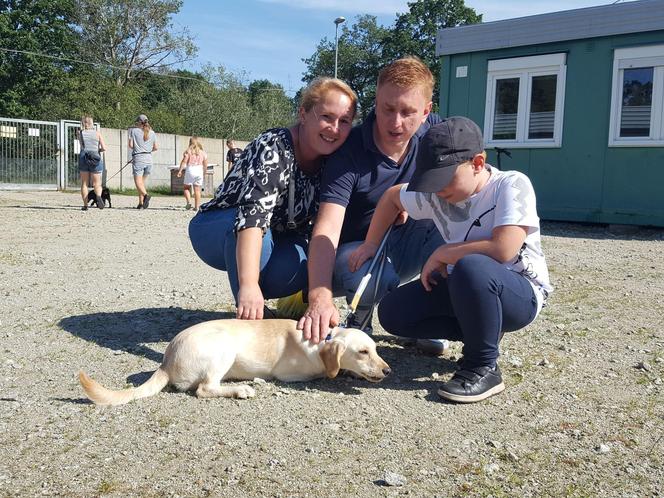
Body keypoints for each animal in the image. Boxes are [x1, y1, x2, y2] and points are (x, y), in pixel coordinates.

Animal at [79, 320, 390, 404]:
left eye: (375, 349)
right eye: (363, 352)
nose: (388, 371)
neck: (322, 338)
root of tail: (166, 361)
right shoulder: (294, 375)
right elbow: (327, 373)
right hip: (224, 348)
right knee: (205, 389)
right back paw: (241, 389)